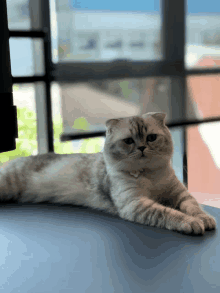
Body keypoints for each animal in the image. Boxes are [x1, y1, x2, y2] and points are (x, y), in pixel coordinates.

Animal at [0, 112, 217, 235]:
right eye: (129, 141)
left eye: (151, 137)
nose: (142, 148)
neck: (148, 174)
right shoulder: (136, 203)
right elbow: (170, 213)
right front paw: (192, 223)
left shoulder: (179, 194)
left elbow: (193, 207)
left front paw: (204, 219)